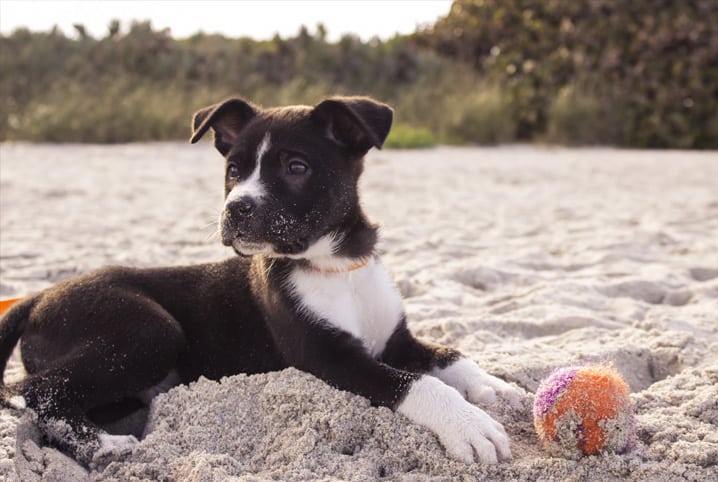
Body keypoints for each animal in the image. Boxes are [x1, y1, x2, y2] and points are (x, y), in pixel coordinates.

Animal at [0, 95, 520, 466]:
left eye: (296, 167)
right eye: (233, 170)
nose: (236, 209)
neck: (334, 265)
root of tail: (39, 296)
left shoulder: (395, 339)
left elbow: (449, 355)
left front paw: (495, 387)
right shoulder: (326, 356)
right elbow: (415, 383)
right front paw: (468, 425)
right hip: (148, 330)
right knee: (35, 392)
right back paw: (105, 447)